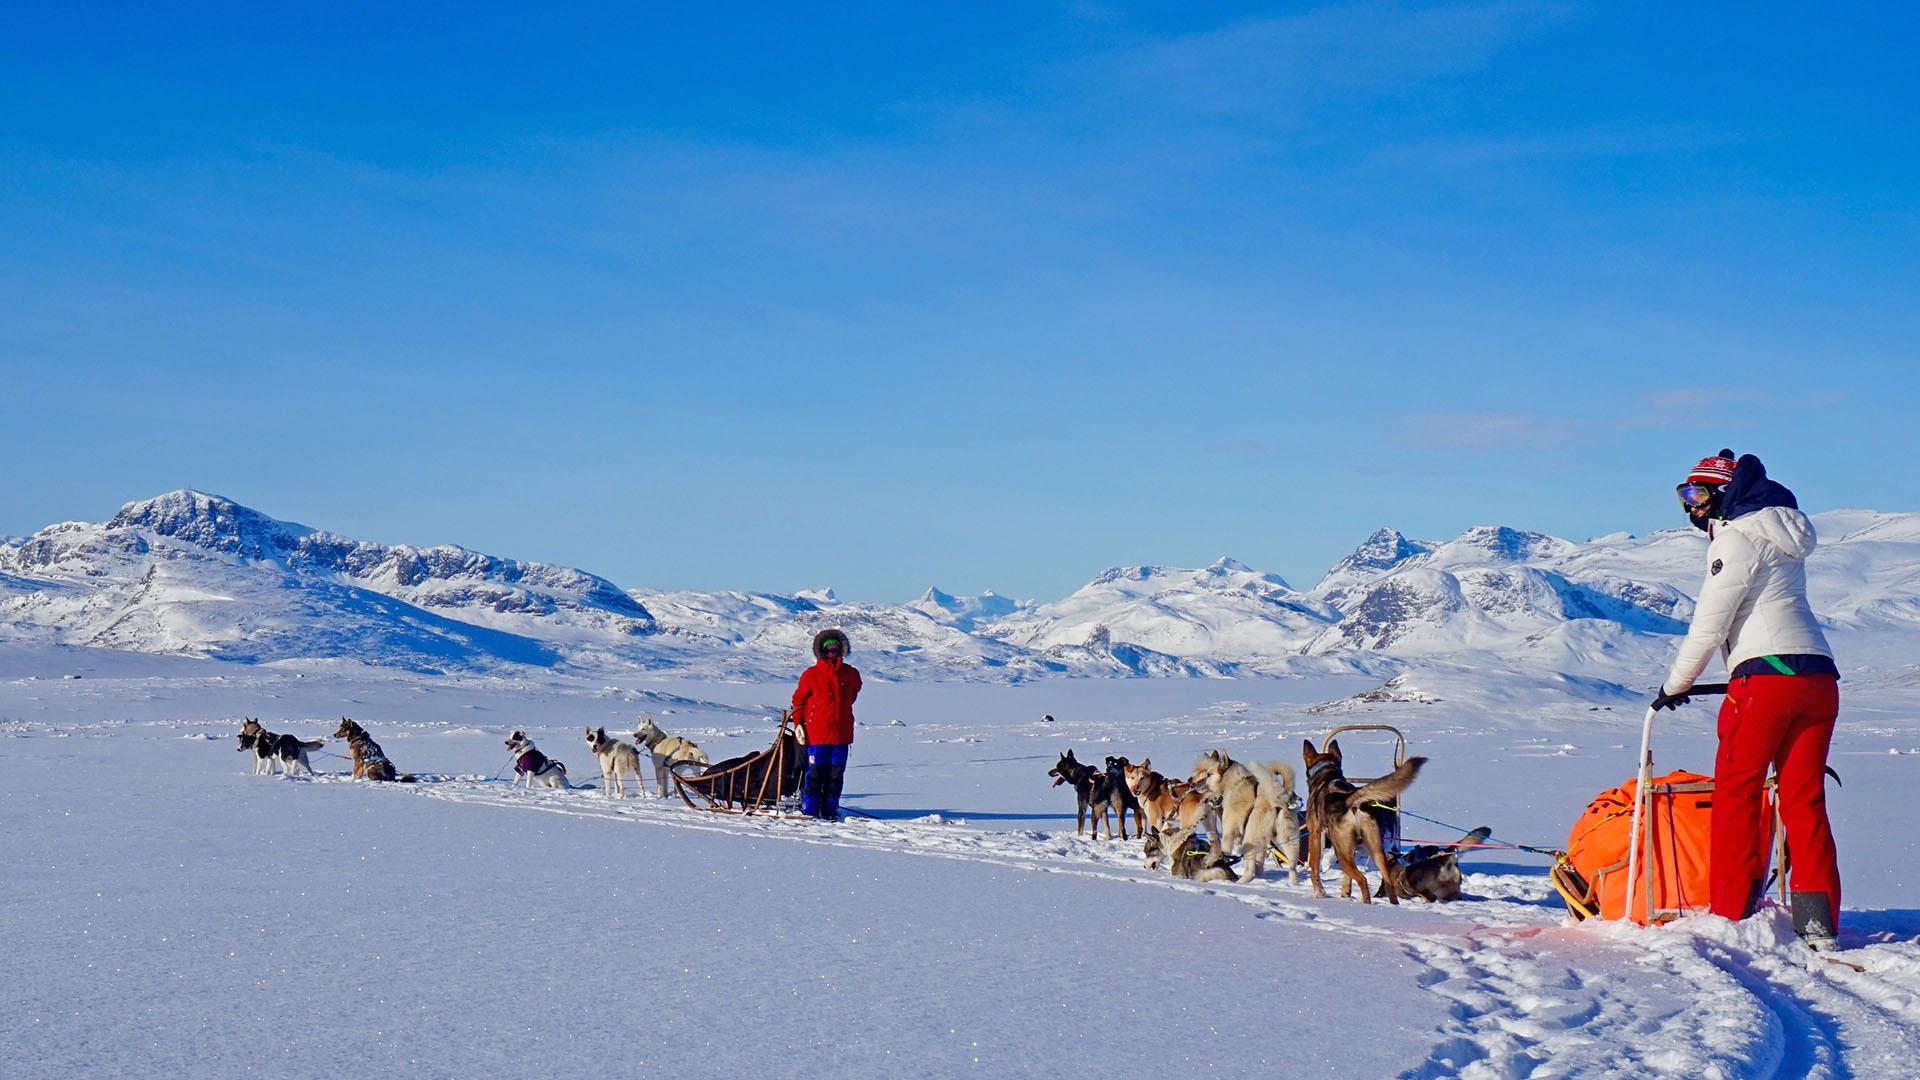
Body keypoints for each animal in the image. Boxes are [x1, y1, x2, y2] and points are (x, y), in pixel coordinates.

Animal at [1305, 737, 1428, 899]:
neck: (1327, 773)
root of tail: (1351, 800)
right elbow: (1347, 879)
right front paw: (1346, 893)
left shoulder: (1314, 835)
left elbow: (1314, 868)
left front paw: (1320, 893)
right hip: (1376, 851)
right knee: (1387, 880)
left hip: (1341, 852)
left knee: (1362, 879)